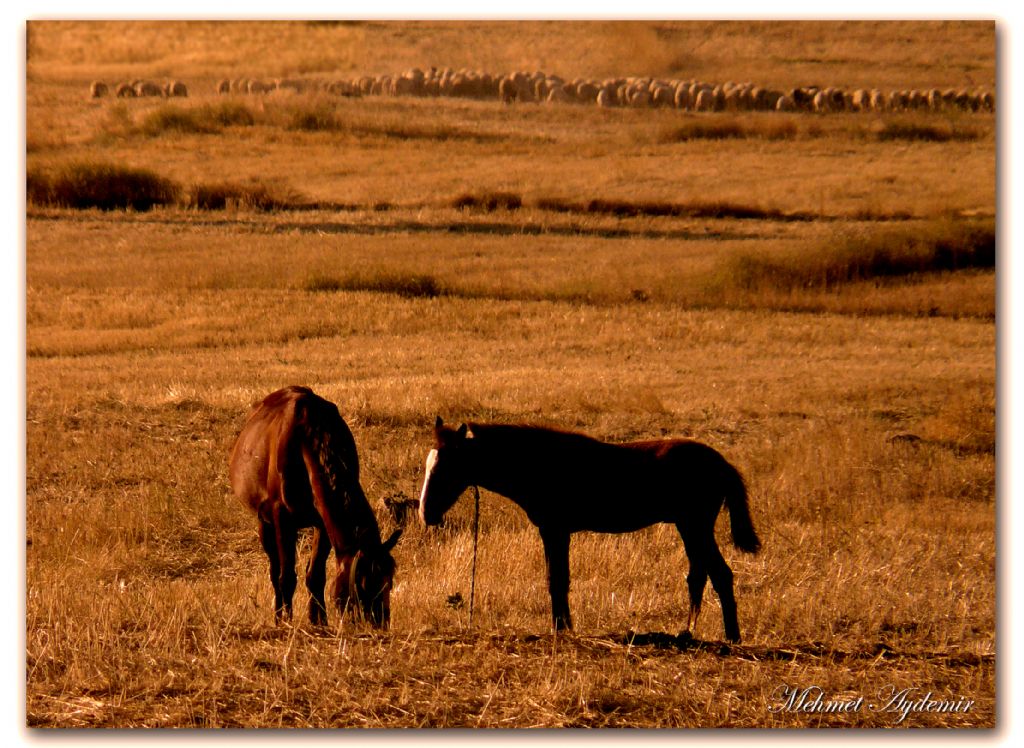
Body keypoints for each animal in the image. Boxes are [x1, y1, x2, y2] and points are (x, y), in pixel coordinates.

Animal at [230, 385, 401, 622]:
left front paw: (319, 621)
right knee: (274, 572)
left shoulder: (322, 521)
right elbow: (286, 577)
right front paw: (286, 621)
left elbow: (315, 575)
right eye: (364, 585)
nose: (380, 623)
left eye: (389, 582)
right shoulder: (282, 518)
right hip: (264, 522)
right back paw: (278, 616)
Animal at [415, 416, 761, 639]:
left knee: (720, 574)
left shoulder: (555, 530)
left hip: (695, 527)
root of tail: (722, 464)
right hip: (689, 528)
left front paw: (560, 628)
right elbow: (558, 578)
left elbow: (556, 579)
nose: (426, 514)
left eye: (448, 468)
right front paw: (563, 626)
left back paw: (731, 637)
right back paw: (688, 632)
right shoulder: (554, 532)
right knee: (698, 576)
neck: (539, 463)